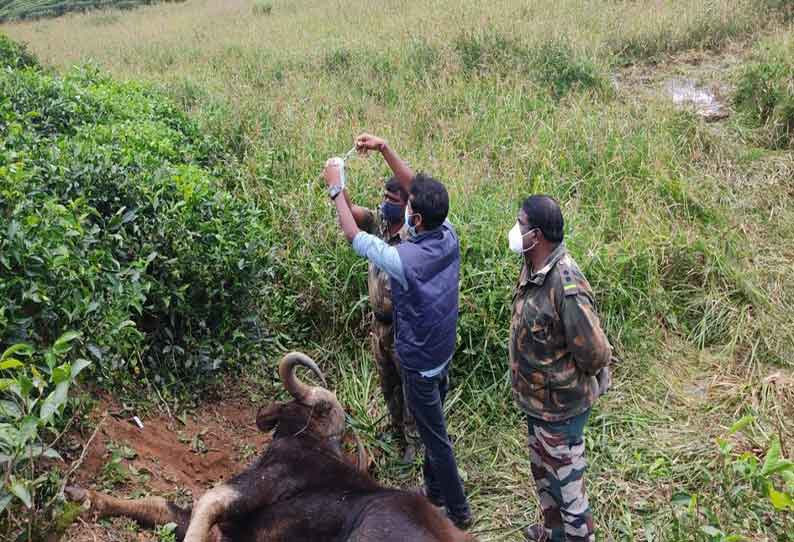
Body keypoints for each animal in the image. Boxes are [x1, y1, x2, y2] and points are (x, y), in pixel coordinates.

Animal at [66, 352, 476, 542]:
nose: (262, 414)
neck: (312, 445)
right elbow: (158, 505)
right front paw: (81, 496)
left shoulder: (248, 488)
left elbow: (201, 506)